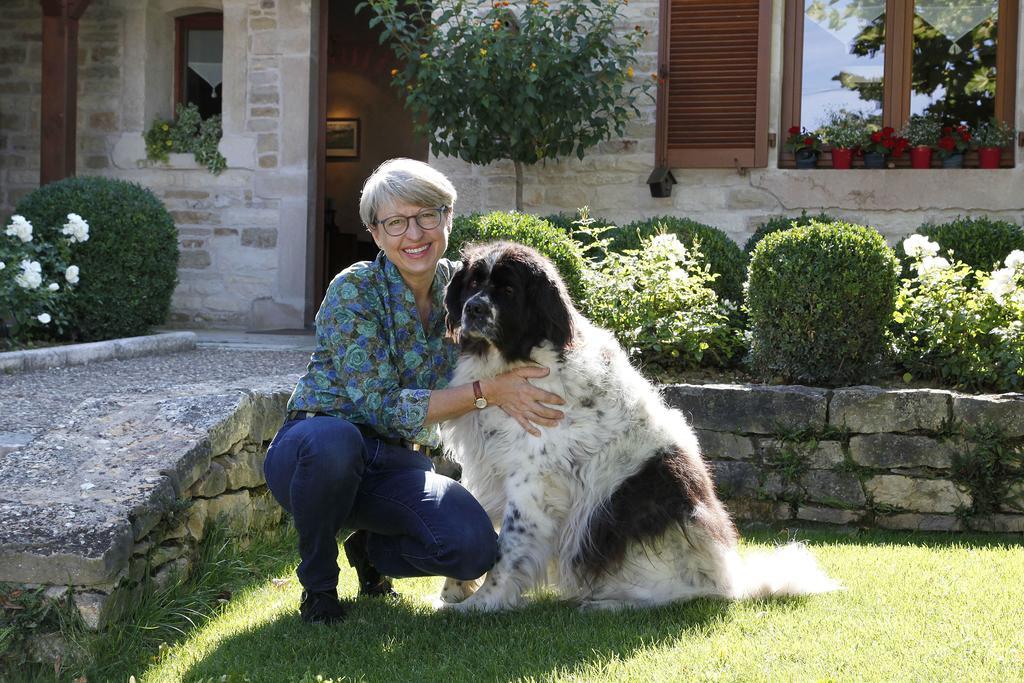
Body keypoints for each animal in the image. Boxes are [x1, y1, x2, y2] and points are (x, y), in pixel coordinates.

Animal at [436, 241, 835, 614]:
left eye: (508, 290)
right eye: (473, 283)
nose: (473, 308)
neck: (515, 360)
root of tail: (735, 582)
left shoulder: (532, 481)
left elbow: (508, 549)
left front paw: (481, 603)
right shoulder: (490, 466)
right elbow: (476, 520)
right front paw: (453, 591)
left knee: (680, 595)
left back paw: (606, 604)